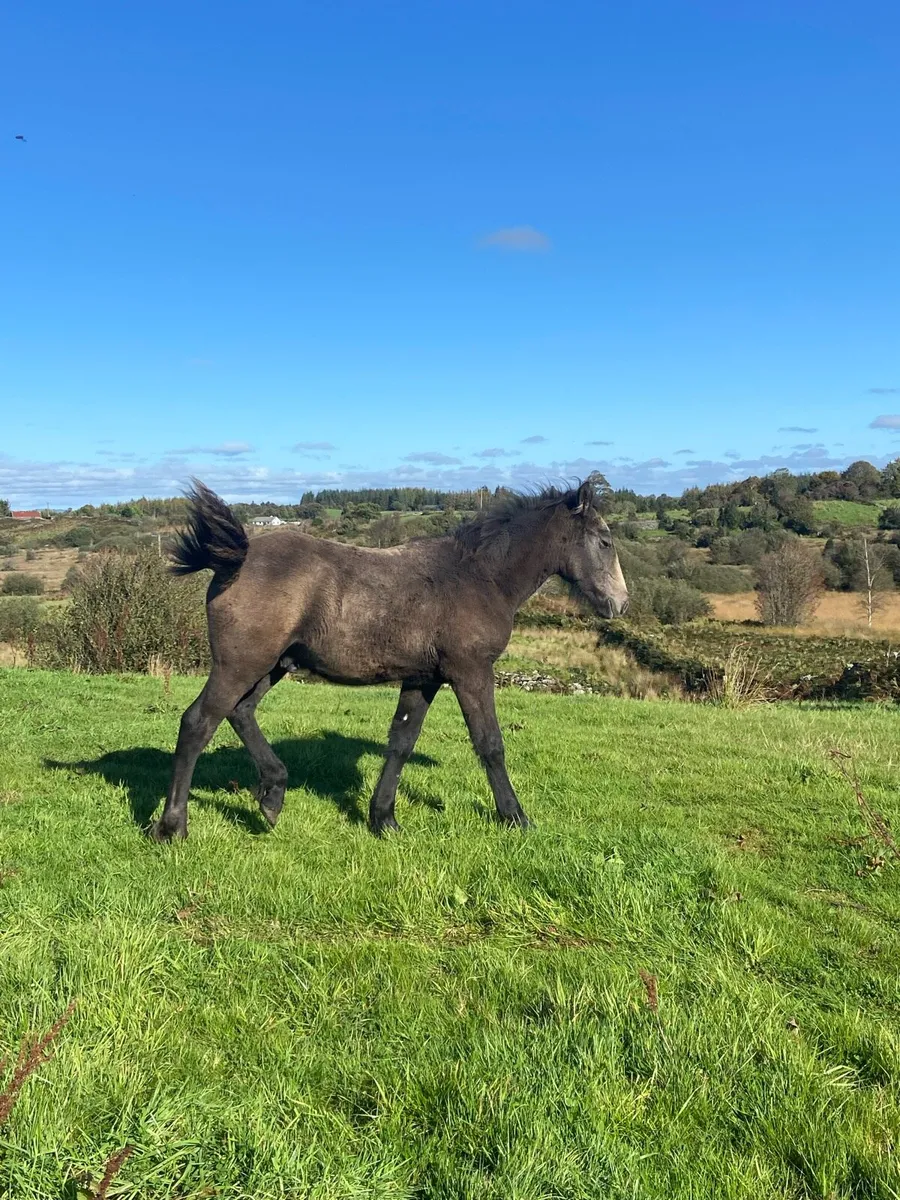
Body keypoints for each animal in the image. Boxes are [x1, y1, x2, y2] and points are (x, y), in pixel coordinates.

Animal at [150, 475, 628, 841]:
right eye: (604, 541)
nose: (620, 604)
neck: (480, 577)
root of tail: (236, 558)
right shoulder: (471, 672)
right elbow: (490, 744)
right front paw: (516, 817)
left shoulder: (423, 678)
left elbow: (401, 741)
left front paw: (383, 820)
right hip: (239, 664)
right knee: (197, 723)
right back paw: (172, 827)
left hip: (271, 666)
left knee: (241, 712)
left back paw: (272, 794)